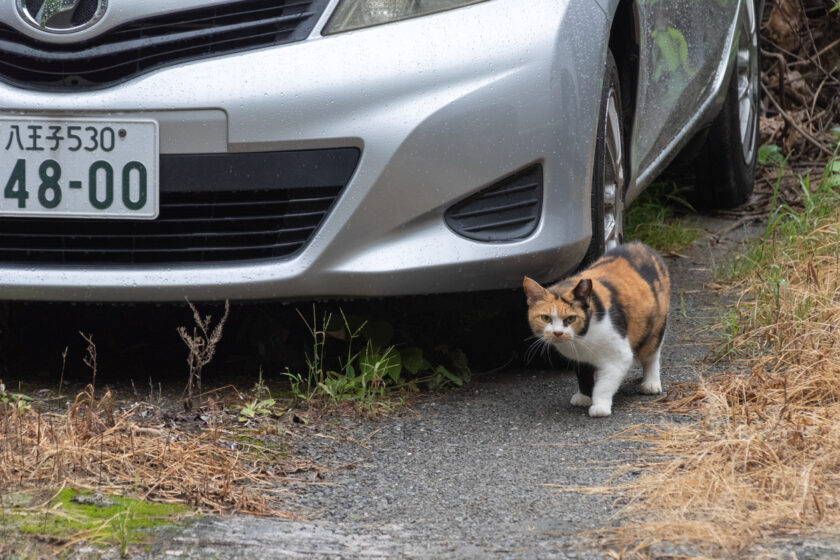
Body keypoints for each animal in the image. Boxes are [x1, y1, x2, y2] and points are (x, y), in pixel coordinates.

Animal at [520, 243, 672, 418]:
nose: (557, 333)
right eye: (545, 318)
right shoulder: (580, 359)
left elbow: (604, 385)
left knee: (652, 354)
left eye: (570, 319)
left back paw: (651, 383)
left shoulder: (619, 357)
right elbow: (583, 374)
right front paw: (584, 396)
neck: (583, 338)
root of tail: (640, 245)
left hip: (655, 327)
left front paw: (600, 406)